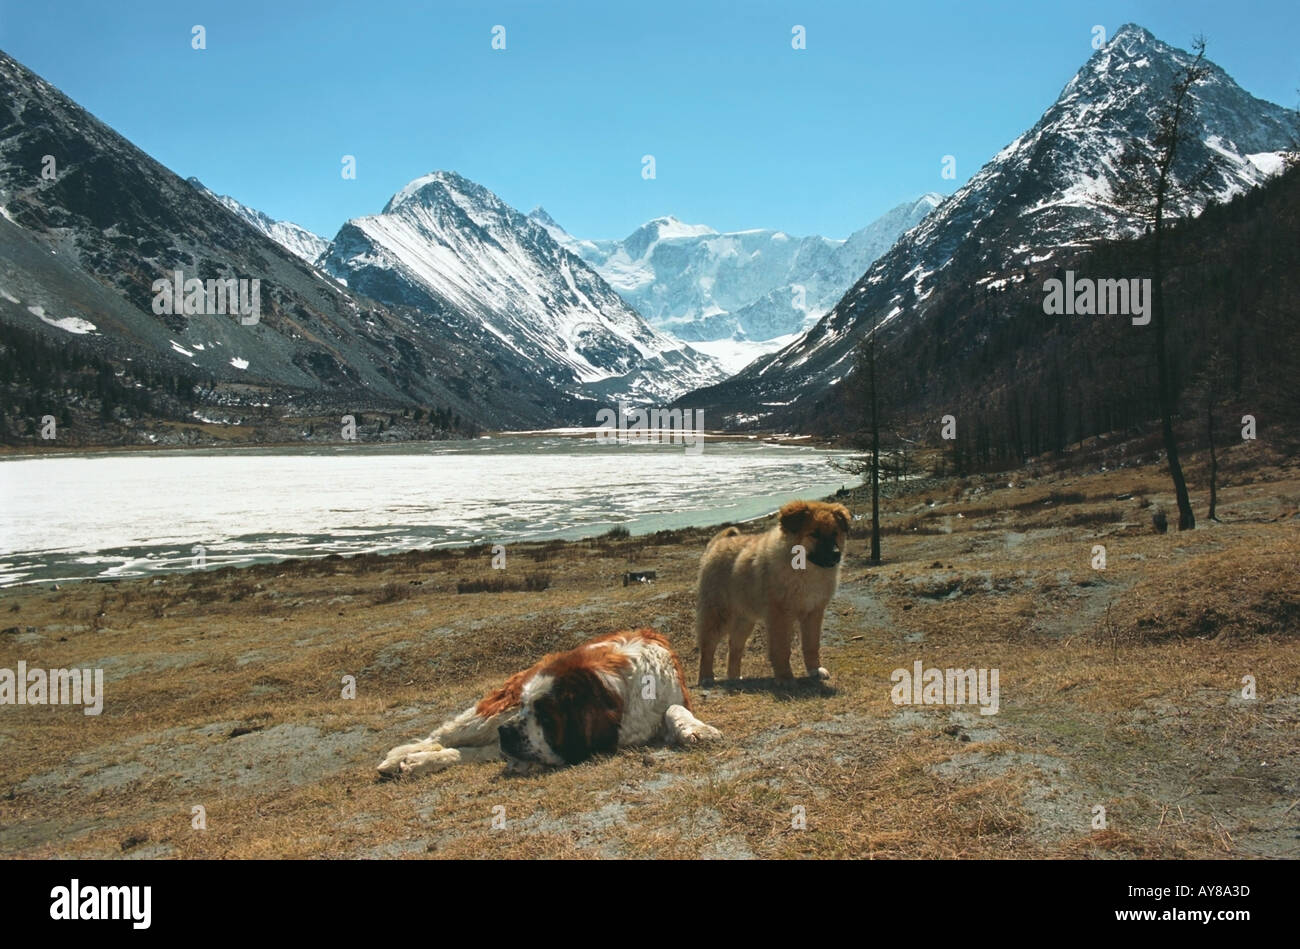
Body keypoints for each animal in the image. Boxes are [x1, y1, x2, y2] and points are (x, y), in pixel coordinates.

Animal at [377, 624, 722, 774]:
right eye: (528, 708)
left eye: (545, 715)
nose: (507, 731)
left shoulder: (672, 697)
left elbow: (674, 709)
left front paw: (695, 729)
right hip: (494, 711)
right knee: (440, 736)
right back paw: (400, 758)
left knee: (469, 750)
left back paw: (420, 762)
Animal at [696, 499, 847, 686]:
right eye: (815, 534)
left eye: (835, 533)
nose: (836, 555)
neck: (804, 570)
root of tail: (717, 544)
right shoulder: (780, 615)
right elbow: (781, 649)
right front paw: (785, 677)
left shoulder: (813, 612)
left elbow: (811, 645)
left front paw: (814, 669)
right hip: (718, 614)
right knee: (708, 645)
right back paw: (706, 677)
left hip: (744, 619)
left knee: (735, 646)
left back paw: (734, 677)